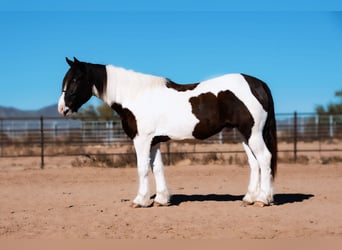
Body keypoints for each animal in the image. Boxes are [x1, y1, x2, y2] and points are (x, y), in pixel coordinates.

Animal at [58, 57, 278, 208]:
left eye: (76, 79)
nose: (62, 109)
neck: (136, 96)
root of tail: (258, 83)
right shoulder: (154, 141)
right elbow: (157, 168)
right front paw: (161, 200)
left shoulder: (142, 140)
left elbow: (142, 168)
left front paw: (140, 200)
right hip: (245, 135)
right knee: (254, 163)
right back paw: (249, 198)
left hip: (253, 134)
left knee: (265, 159)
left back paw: (263, 199)